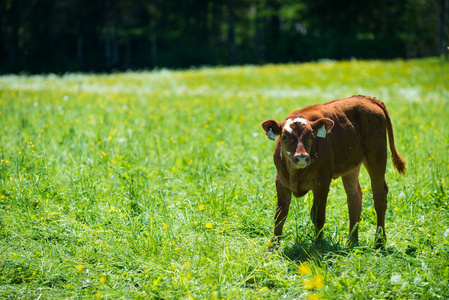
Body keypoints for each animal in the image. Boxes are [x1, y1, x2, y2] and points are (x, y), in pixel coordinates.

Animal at [260, 95, 404, 248]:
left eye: (311, 136)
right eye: (284, 137)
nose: (302, 157)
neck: (296, 173)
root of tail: (368, 99)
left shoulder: (322, 181)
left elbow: (317, 215)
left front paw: (318, 245)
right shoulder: (281, 180)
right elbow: (280, 214)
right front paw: (273, 246)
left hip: (377, 157)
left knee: (379, 195)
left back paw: (379, 242)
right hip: (351, 166)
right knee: (354, 197)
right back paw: (352, 241)